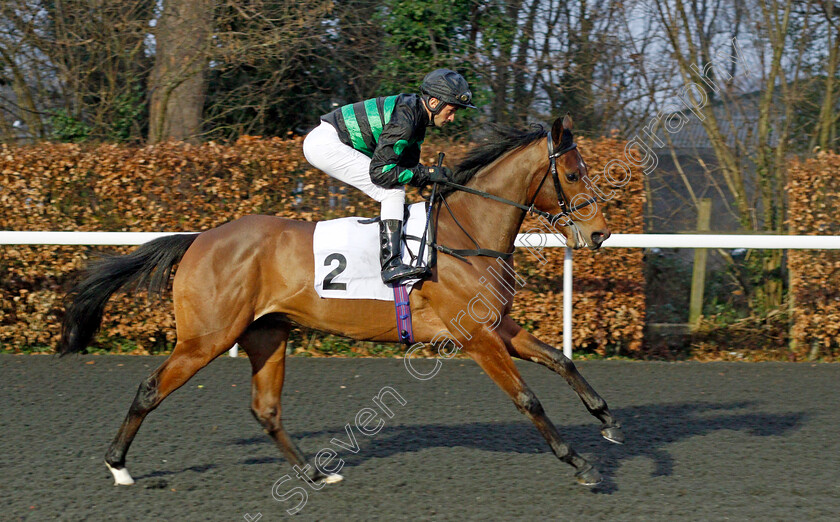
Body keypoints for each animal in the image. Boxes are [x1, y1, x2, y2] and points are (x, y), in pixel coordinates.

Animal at [59, 114, 624, 488]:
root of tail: (201, 237)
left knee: (266, 409)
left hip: (267, 333)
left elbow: (561, 360)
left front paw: (609, 422)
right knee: (150, 388)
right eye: (573, 174)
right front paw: (578, 461)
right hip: (208, 337)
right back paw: (118, 465)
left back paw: (313, 471)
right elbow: (527, 398)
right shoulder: (475, 337)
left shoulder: (497, 325)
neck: (464, 235)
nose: (599, 232)